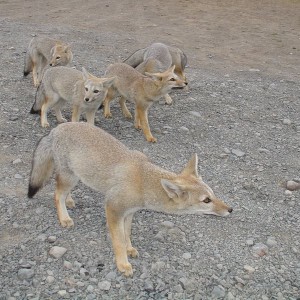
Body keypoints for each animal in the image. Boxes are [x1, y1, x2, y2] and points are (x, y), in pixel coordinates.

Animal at [27, 122, 233, 276]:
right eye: (206, 200)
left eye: (213, 194)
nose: (230, 209)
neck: (143, 180)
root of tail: (56, 129)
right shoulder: (113, 208)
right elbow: (118, 239)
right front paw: (122, 264)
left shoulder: (129, 213)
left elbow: (126, 234)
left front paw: (129, 249)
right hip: (69, 177)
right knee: (56, 194)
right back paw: (64, 217)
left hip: (77, 176)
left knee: (62, 192)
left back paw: (69, 201)